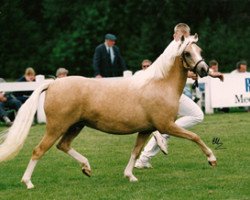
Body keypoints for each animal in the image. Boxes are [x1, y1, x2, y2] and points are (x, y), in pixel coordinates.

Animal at [0, 34, 216, 189]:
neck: (159, 84)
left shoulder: (146, 129)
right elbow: (195, 136)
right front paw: (211, 159)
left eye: (199, 50)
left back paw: (87, 167)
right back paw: (28, 182)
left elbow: (135, 151)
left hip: (75, 126)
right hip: (56, 127)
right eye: (187, 53)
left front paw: (130, 176)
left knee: (63, 146)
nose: (204, 69)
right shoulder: (166, 125)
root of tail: (53, 84)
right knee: (39, 150)